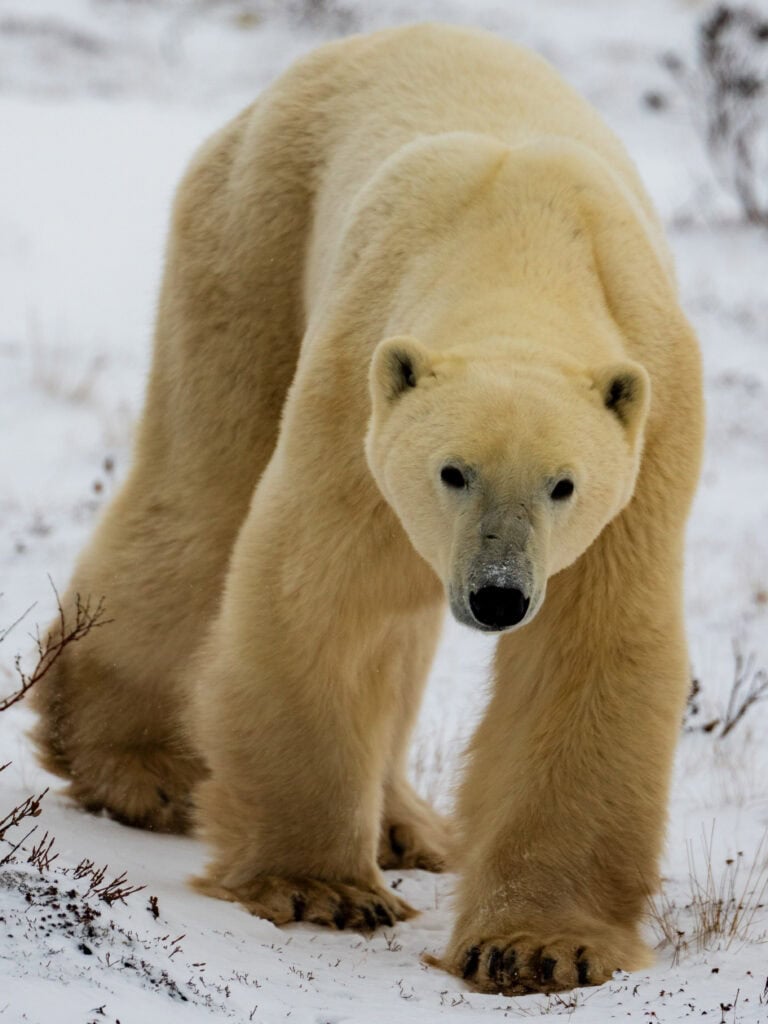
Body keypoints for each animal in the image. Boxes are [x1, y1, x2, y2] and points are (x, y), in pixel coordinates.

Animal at [31, 23, 703, 995]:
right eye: (452, 471)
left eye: (563, 484)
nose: (499, 594)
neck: (521, 247)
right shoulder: (358, 382)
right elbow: (319, 595)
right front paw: (322, 887)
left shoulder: (650, 439)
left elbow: (590, 647)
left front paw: (540, 945)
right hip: (251, 247)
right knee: (202, 492)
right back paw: (138, 768)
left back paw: (409, 827)